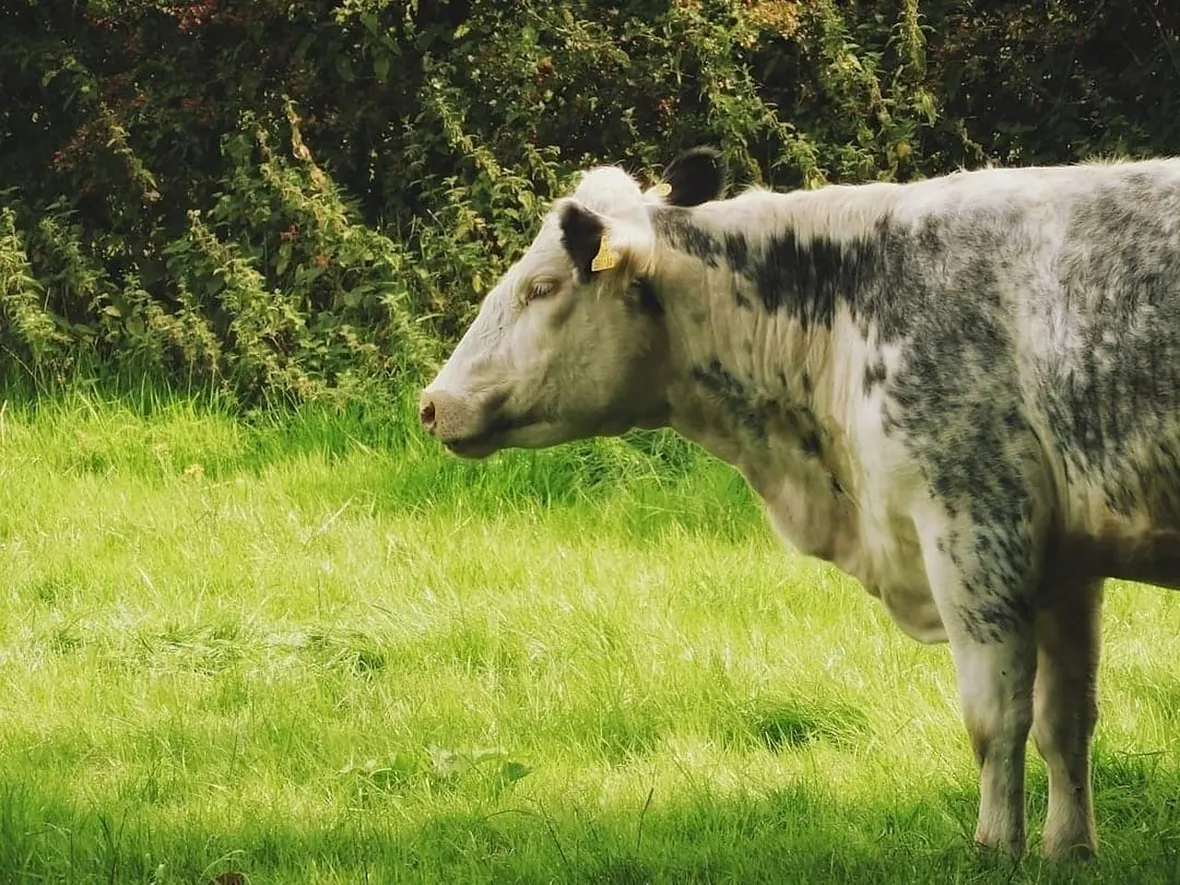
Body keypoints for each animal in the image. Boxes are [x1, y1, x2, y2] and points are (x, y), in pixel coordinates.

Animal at [418, 146, 1180, 860]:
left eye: (542, 287)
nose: (431, 403)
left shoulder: (977, 527)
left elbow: (996, 721)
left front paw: (995, 849)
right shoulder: (1067, 560)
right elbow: (1066, 721)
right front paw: (1070, 848)